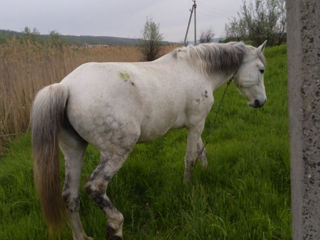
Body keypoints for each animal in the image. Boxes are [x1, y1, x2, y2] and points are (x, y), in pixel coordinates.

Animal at [31, 40, 268, 239]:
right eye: (261, 70)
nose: (261, 102)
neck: (198, 69)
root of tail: (66, 87)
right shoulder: (196, 124)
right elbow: (190, 158)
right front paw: (187, 186)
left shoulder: (194, 125)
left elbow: (201, 151)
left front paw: (206, 172)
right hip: (116, 152)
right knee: (95, 187)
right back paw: (115, 224)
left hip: (74, 150)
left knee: (70, 196)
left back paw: (82, 235)